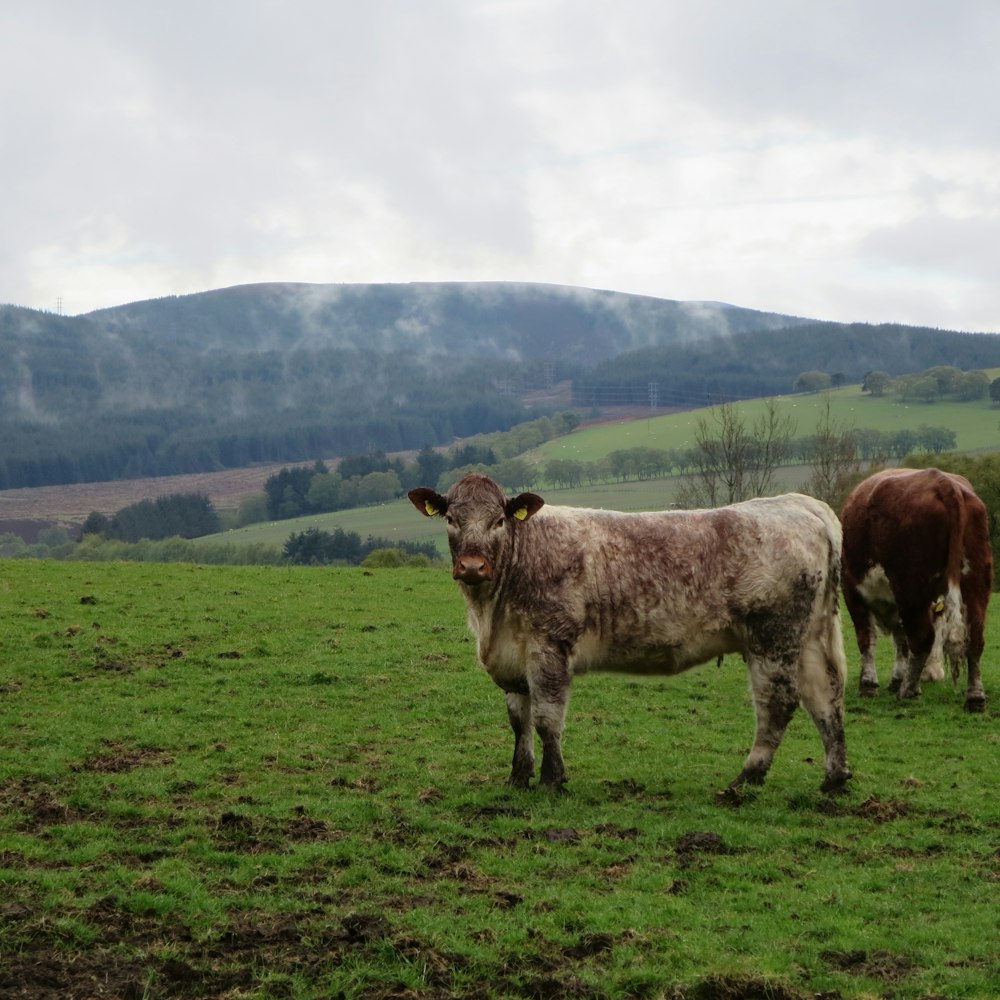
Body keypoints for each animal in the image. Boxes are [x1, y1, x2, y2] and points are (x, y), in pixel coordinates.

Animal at [406, 472, 852, 792]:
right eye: (451, 519)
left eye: (498, 520)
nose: (472, 566)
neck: (491, 614)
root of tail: (799, 504)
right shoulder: (513, 657)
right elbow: (520, 720)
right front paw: (518, 777)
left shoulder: (551, 645)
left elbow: (547, 719)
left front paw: (552, 780)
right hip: (809, 637)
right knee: (825, 695)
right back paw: (834, 779)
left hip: (772, 636)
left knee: (779, 702)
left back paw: (746, 779)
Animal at [836, 468, 992, 712]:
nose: (933, 676)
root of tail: (943, 482)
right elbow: (901, 640)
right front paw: (897, 677)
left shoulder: (852, 591)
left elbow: (867, 638)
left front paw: (869, 684)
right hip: (975, 582)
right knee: (974, 638)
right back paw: (975, 697)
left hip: (912, 588)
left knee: (921, 637)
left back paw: (909, 691)